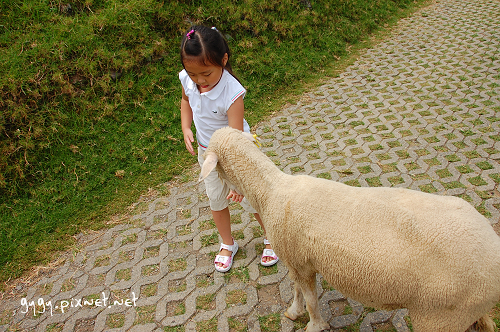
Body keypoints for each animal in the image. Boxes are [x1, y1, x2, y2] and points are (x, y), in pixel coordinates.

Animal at [198, 127, 500, 332]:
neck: (271, 190)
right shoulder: (298, 262)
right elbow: (297, 291)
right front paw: (293, 313)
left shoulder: (301, 263)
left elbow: (310, 299)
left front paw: (313, 324)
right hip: (463, 312)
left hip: (440, 316)